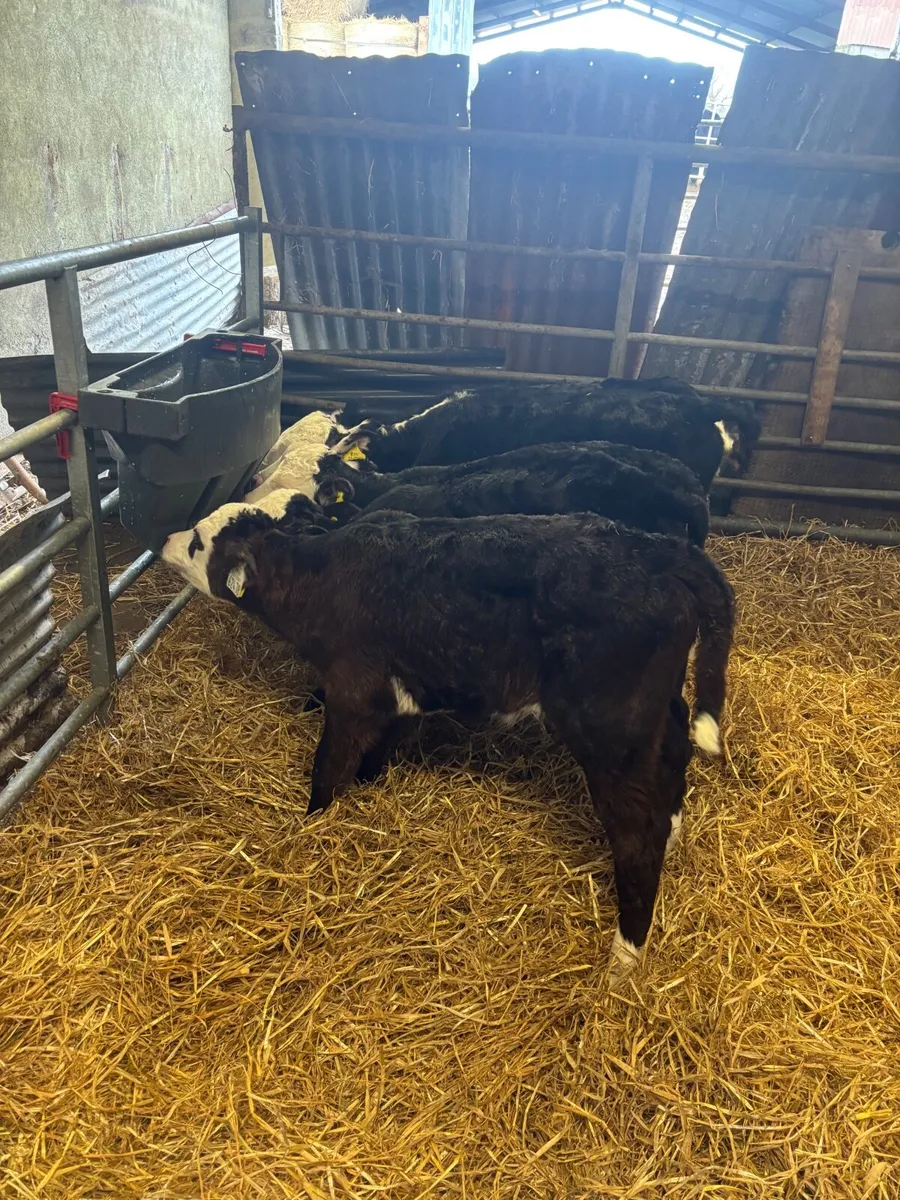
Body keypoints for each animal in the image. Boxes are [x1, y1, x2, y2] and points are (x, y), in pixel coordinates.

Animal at [161, 505, 733, 981]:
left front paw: (311, 824)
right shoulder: (394, 697)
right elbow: (372, 755)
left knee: (638, 836)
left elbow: (328, 767)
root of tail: (658, 551)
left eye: (198, 541)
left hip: (612, 733)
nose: (165, 539)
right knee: (674, 756)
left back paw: (623, 959)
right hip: (655, 714)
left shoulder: (352, 690)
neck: (318, 579)